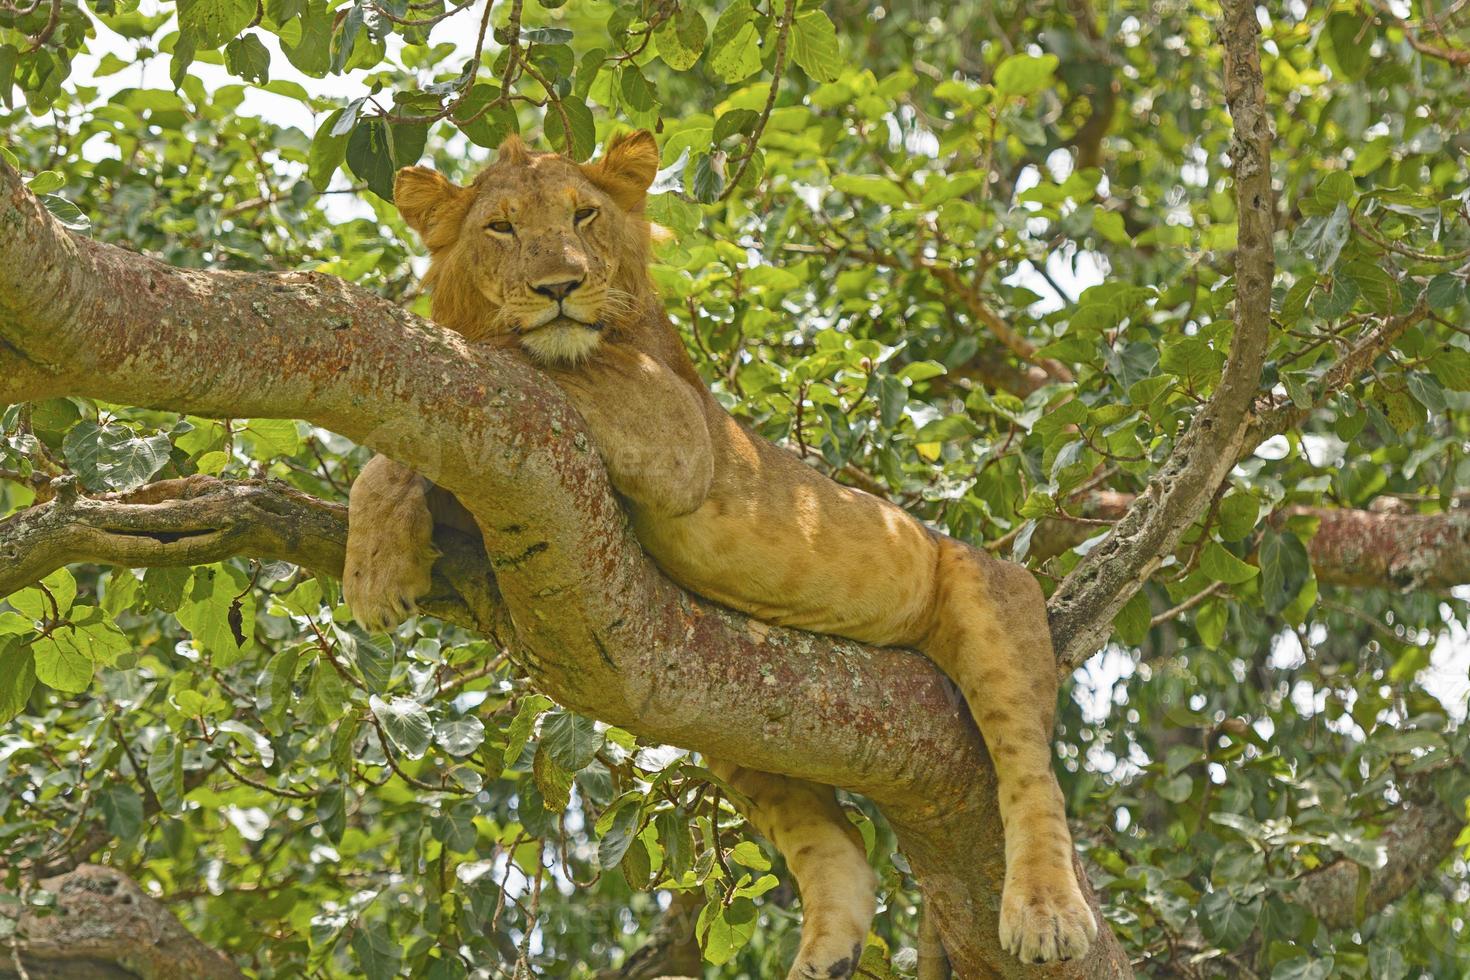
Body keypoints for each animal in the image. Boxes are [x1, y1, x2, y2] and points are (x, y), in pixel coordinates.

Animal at [343, 132, 1099, 975]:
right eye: (499, 228)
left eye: (584, 215)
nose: (560, 287)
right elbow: (397, 457)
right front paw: (377, 563)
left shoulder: (674, 427)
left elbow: (495, 360)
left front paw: (373, 562)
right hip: (739, 734)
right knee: (838, 846)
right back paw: (825, 957)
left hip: (986, 594)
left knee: (1030, 771)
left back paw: (1045, 915)